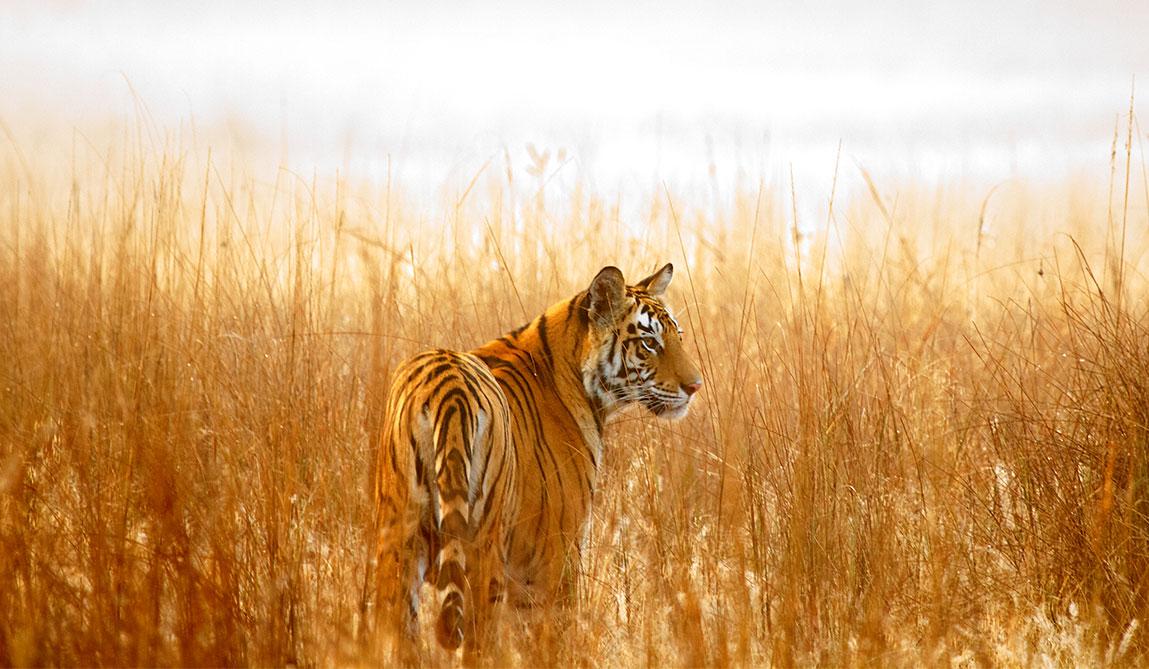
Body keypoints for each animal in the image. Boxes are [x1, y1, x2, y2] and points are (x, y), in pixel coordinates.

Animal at [374, 263, 698, 662]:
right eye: (650, 343)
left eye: (677, 337)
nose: (695, 387)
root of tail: (449, 387)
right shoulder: (556, 559)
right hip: (483, 552)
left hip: (396, 544)